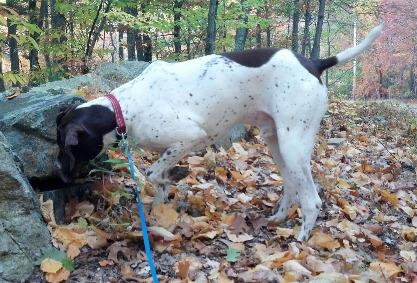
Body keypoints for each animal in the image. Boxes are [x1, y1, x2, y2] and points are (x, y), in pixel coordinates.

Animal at [56, 25, 384, 242]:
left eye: (67, 147)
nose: (58, 170)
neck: (124, 107)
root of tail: (314, 63)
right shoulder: (170, 149)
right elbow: (159, 183)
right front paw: (160, 212)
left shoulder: (191, 136)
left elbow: (153, 173)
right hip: (277, 143)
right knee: (292, 185)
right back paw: (278, 218)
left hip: (293, 145)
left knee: (312, 201)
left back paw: (301, 239)